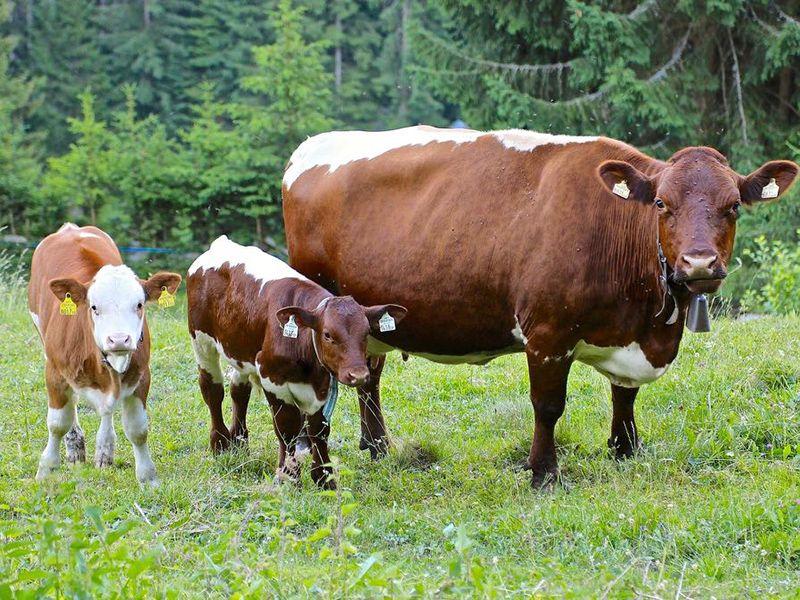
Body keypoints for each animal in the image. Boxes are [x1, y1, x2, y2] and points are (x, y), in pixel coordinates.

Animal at [28, 223, 181, 485]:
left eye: (139, 304)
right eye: (94, 307)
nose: (119, 339)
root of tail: (70, 228)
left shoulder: (142, 375)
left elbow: (138, 429)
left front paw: (147, 477)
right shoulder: (54, 371)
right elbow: (57, 423)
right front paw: (46, 469)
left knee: (107, 412)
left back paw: (104, 450)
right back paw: (75, 446)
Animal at [186, 235, 406, 488]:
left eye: (367, 332)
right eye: (327, 334)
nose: (358, 375)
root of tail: (221, 244)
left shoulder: (322, 385)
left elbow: (318, 429)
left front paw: (324, 477)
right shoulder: (271, 377)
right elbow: (287, 428)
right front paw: (288, 476)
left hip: (240, 350)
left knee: (238, 390)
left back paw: (239, 442)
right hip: (201, 342)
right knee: (212, 390)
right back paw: (220, 444)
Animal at [282, 125, 799, 487]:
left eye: (733, 206)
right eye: (661, 203)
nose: (699, 262)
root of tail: (311, 148)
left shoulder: (631, 339)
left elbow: (625, 394)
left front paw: (624, 450)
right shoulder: (548, 333)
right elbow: (548, 405)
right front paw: (543, 472)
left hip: (367, 317)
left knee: (369, 374)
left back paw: (378, 445)